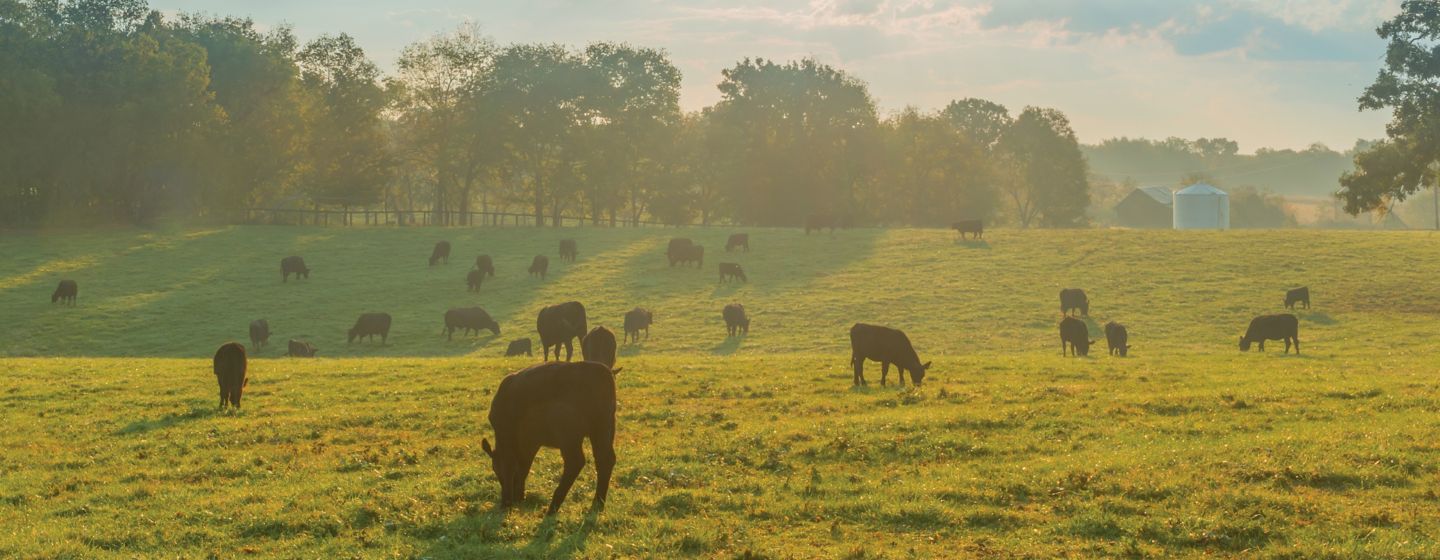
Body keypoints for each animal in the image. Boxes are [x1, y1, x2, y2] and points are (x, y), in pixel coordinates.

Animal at [482, 361, 617, 516]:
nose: (507, 500)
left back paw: (553, 506)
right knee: (605, 460)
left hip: (569, 434)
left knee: (575, 462)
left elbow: (513, 466)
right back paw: (598, 503)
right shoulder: (530, 443)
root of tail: (600, 370)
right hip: (603, 429)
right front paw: (519, 496)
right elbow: (524, 467)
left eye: (494, 468)